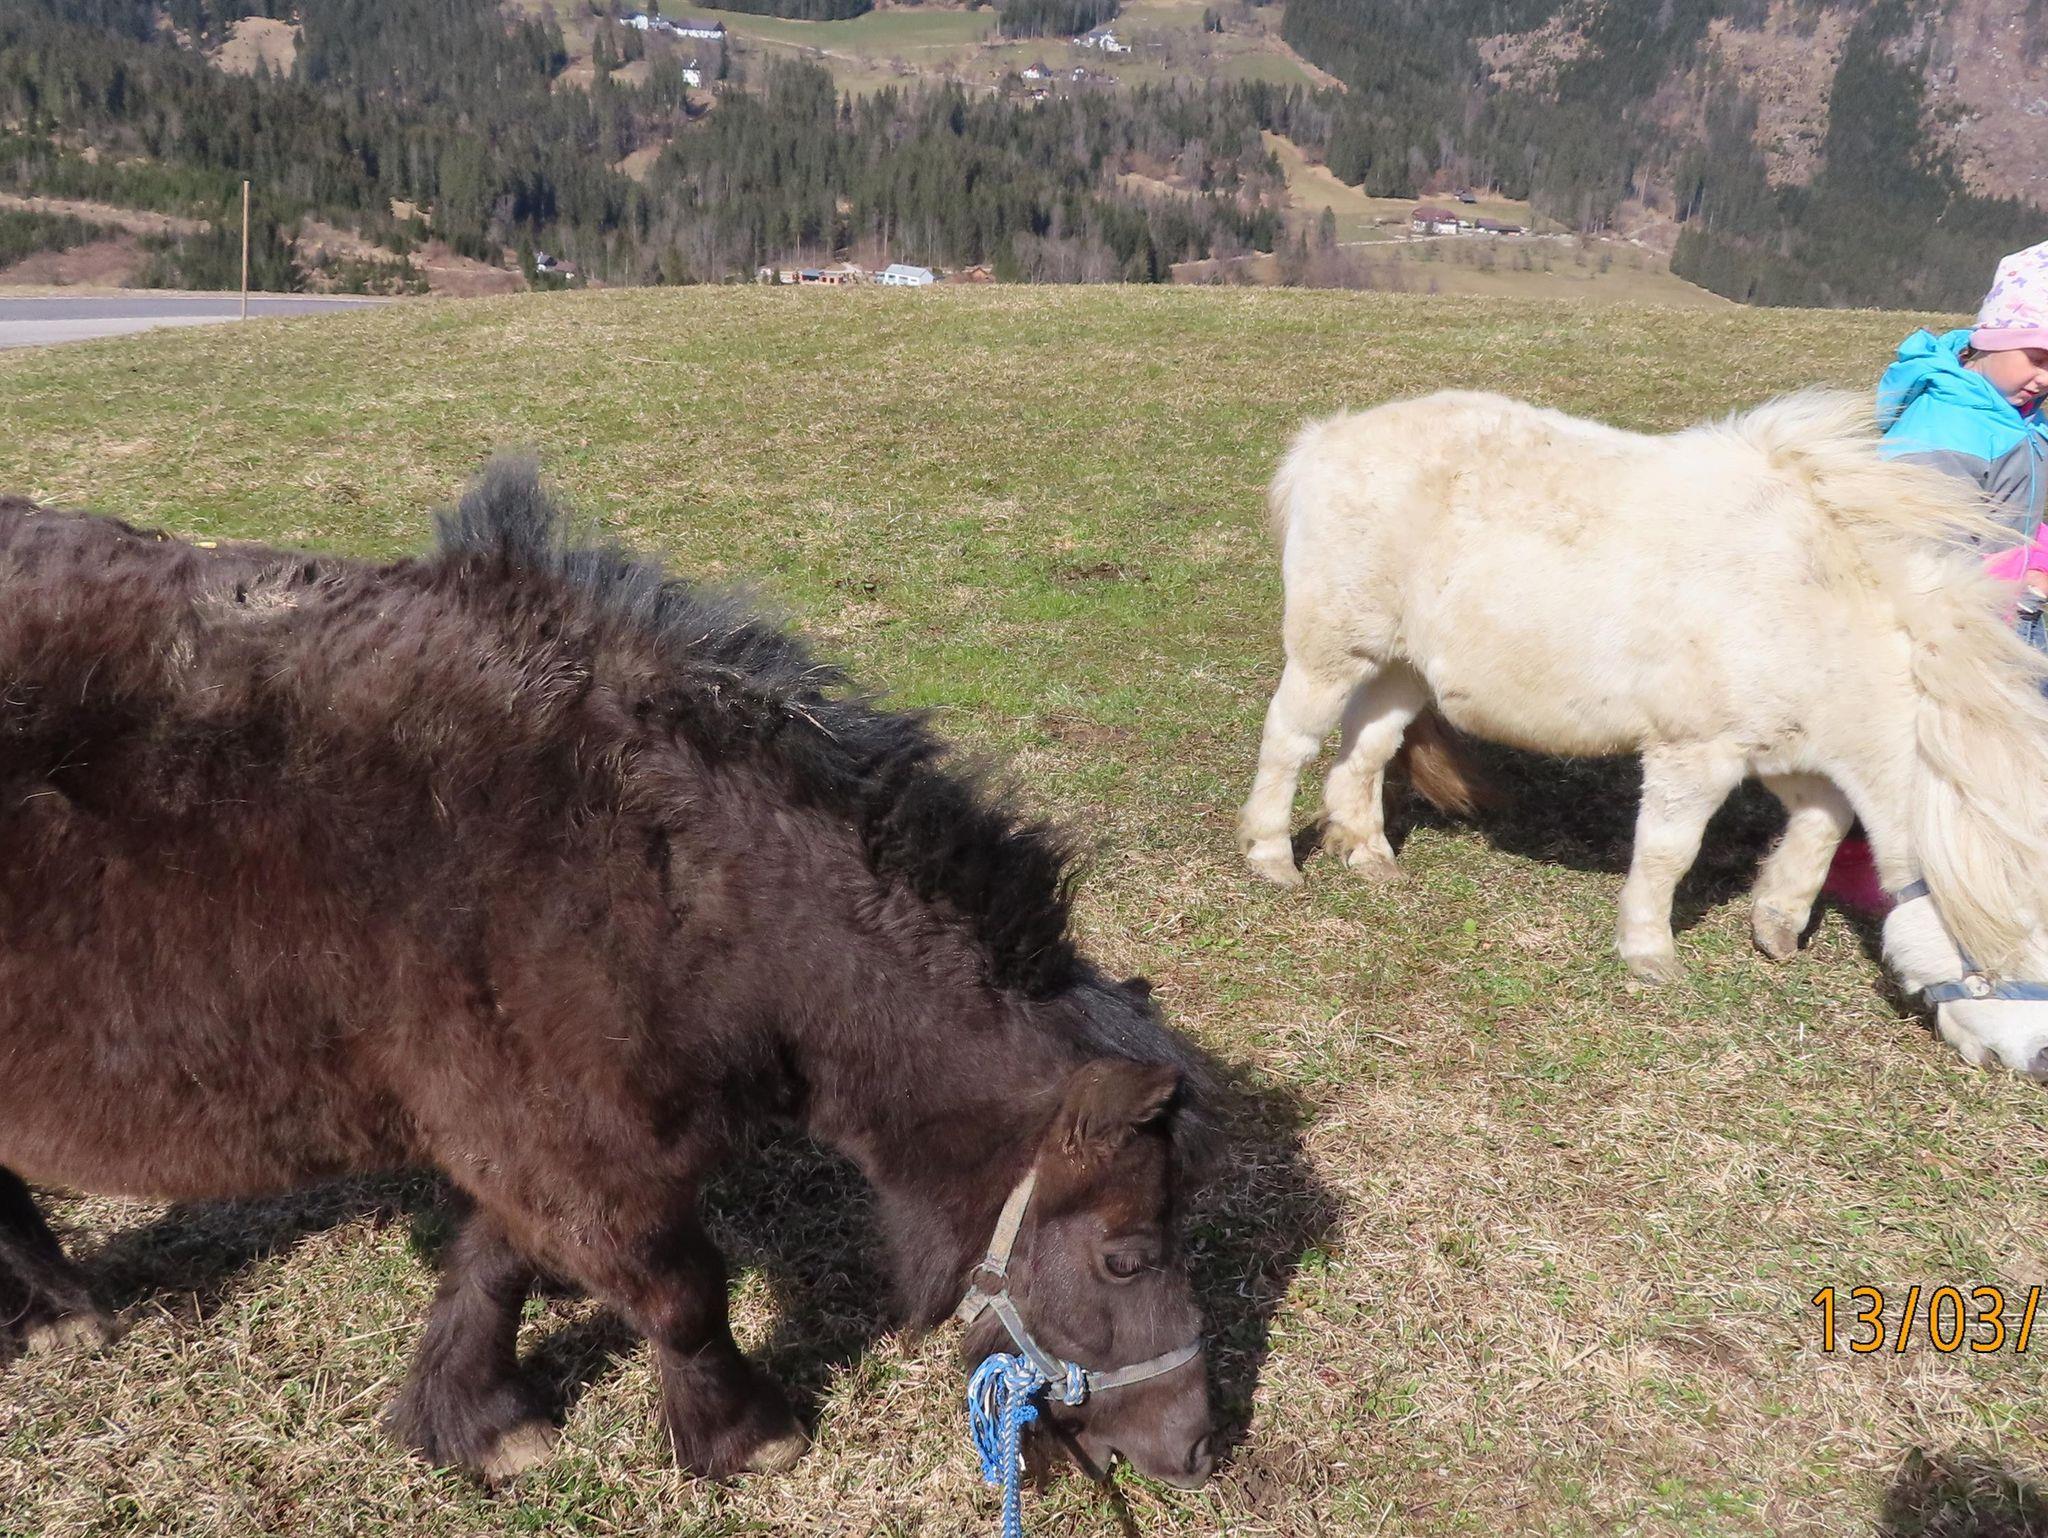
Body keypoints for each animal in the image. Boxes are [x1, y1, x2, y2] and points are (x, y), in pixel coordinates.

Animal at [0, 467, 1218, 1491]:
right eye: (1126, 1258)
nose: (1199, 1448)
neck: (673, 879)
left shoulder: (540, 1129)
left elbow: (494, 1263)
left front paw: (474, 1416)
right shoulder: (574, 1142)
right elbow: (679, 1291)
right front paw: (748, 1434)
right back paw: (60, 1311)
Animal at [1237, 389, 2048, 1085]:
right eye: (1998, 941)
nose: (2035, 1061)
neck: (1807, 604)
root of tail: (1325, 438)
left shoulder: (1782, 746)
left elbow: (1823, 824)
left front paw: (1778, 923)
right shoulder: (1696, 751)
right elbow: (1667, 851)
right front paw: (1650, 953)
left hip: (1401, 666)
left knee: (1365, 749)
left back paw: (1368, 853)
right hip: (1329, 650)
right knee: (1290, 742)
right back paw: (1272, 857)